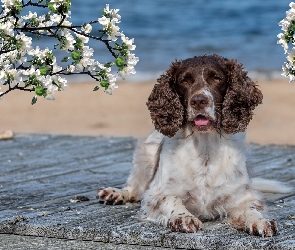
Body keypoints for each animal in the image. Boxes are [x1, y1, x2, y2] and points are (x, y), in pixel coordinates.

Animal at [97, 54, 292, 236]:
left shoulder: (242, 195)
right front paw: (184, 217)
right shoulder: (155, 195)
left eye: (217, 78)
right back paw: (115, 193)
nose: (198, 101)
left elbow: (251, 207)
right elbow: (171, 199)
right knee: (135, 187)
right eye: (184, 80)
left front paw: (260, 221)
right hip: (145, 153)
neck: (204, 149)